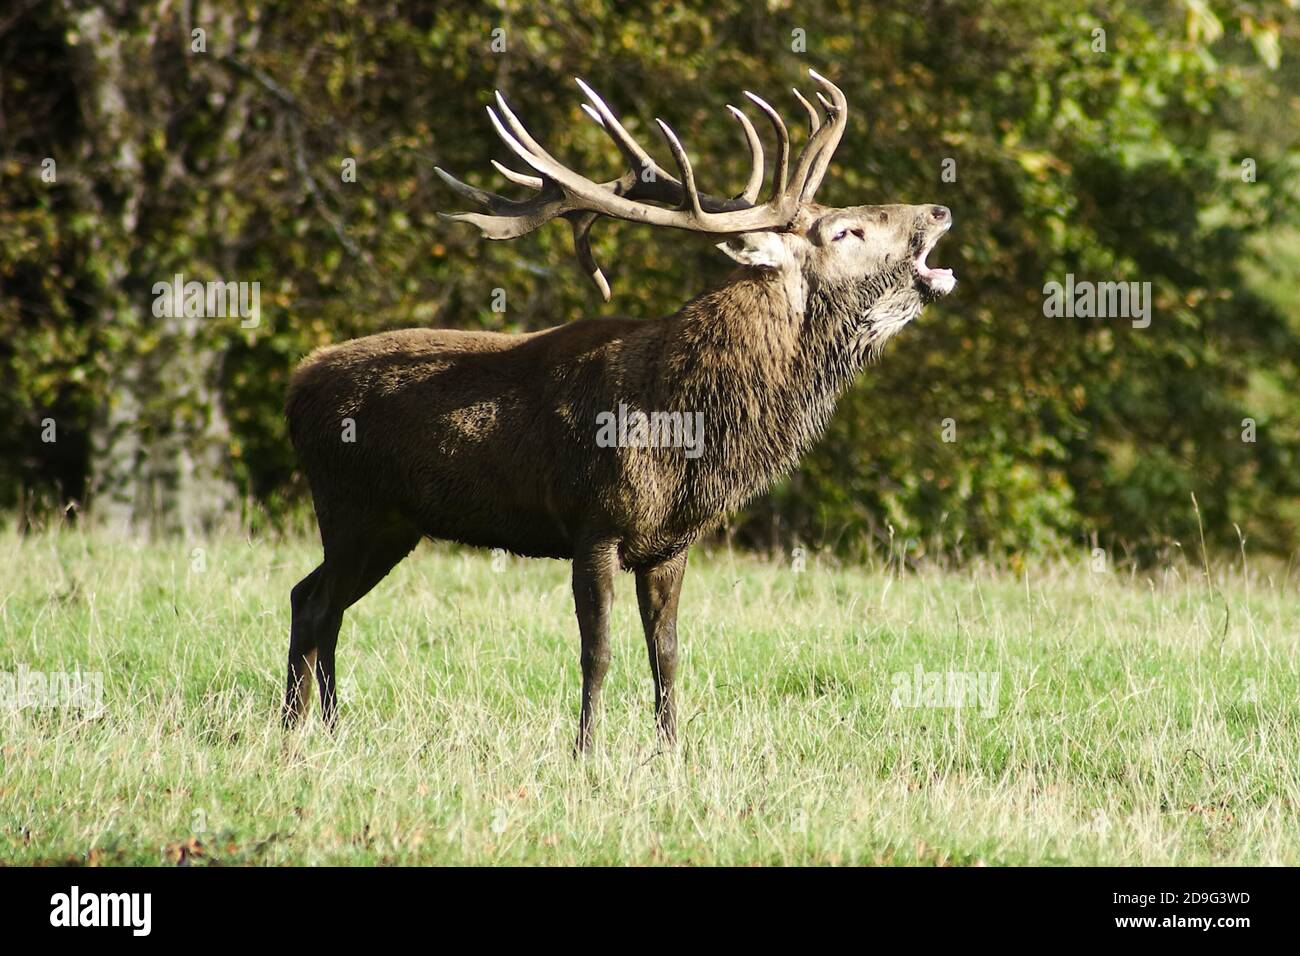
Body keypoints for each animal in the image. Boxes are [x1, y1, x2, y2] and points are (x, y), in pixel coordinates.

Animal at [284, 70, 956, 749]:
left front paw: (672, 751)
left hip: (391, 523)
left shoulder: (669, 542)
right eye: (845, 232)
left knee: (311, 597)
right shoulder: (595, 521)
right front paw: (586, 751)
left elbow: (668, 653)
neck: (686, 425)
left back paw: (322, 726)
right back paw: (297, 731)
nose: (938, 210)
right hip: (351, 505)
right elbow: (598, 652)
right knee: (316, 604)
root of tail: (296, 384)